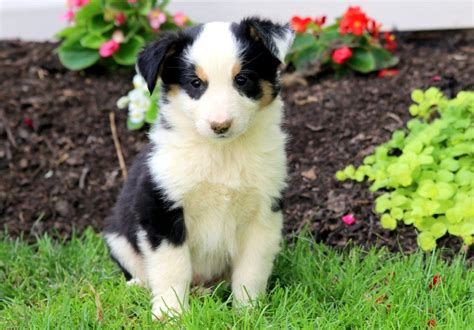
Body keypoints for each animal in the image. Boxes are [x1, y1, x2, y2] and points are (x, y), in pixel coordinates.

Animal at [104, 17, 292, 320]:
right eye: (195, 83)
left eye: (242, 79)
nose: (220, 126)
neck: (221, 153)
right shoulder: (161, 210)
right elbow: (173, 267)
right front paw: (170, 314)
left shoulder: (263, 214)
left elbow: (251, 270)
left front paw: (249, 312)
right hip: (118, 238)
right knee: (141, 270)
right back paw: (139, 286)